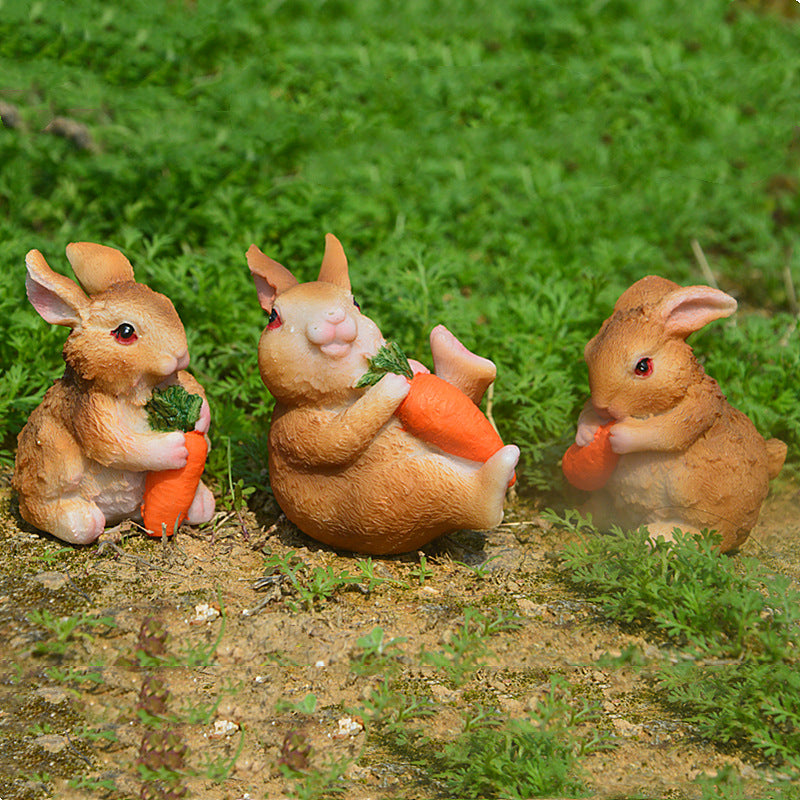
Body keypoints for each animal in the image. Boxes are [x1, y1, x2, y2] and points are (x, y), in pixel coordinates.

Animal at [14, 244, 214, 544]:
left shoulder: (177, 381)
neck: (137, 389)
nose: (180, 355)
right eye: (125, 332)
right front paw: (178, 447)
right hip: (53, 473)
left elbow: (196, 390)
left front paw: (199, 423)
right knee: (55, 514)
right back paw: (85, 518)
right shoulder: (94, 415)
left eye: (166, 302)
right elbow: (121, 446)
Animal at [247, 234, 520, 552]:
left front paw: (412, 366)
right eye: (274, 317)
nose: (334, 317)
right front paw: (394, 382)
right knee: (478, 506)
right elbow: (340, 436)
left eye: (356, 302)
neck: (345, 394)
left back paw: (448, 346)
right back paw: (505, 463)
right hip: (405, 493)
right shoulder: (297, 431)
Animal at [576, 276, 788, 552]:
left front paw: (619, 435)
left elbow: (665, 432)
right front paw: (586, 435)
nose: (605, 408)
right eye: (588, 350)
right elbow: (586, 412)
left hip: (693, 495)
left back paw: (657, 534)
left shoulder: (697, 408)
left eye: (643, 367)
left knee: (711, 537)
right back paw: (583, 513)